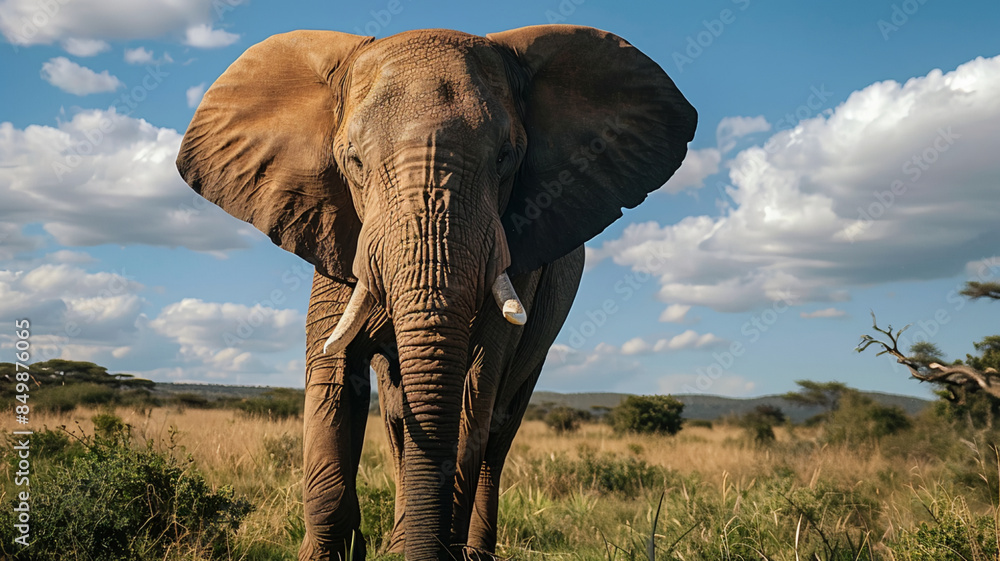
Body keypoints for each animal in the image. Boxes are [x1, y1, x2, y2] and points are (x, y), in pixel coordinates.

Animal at [176, 24, 696, 561]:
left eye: (506, 158)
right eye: (352, 160)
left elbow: (475, 386)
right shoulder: (331, 230)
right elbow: (332, 375)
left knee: (497, 429)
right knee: (398, 418)